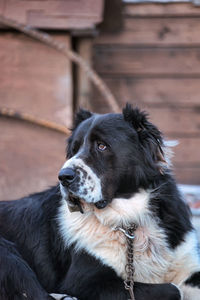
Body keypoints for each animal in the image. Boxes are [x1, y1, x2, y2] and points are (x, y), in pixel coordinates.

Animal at [0, 104, 200, 298]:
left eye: (102, 146)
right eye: (74, 150)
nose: (63, 177)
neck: (129, 220)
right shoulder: (86, 284)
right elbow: (174, 289)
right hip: (9, 255)